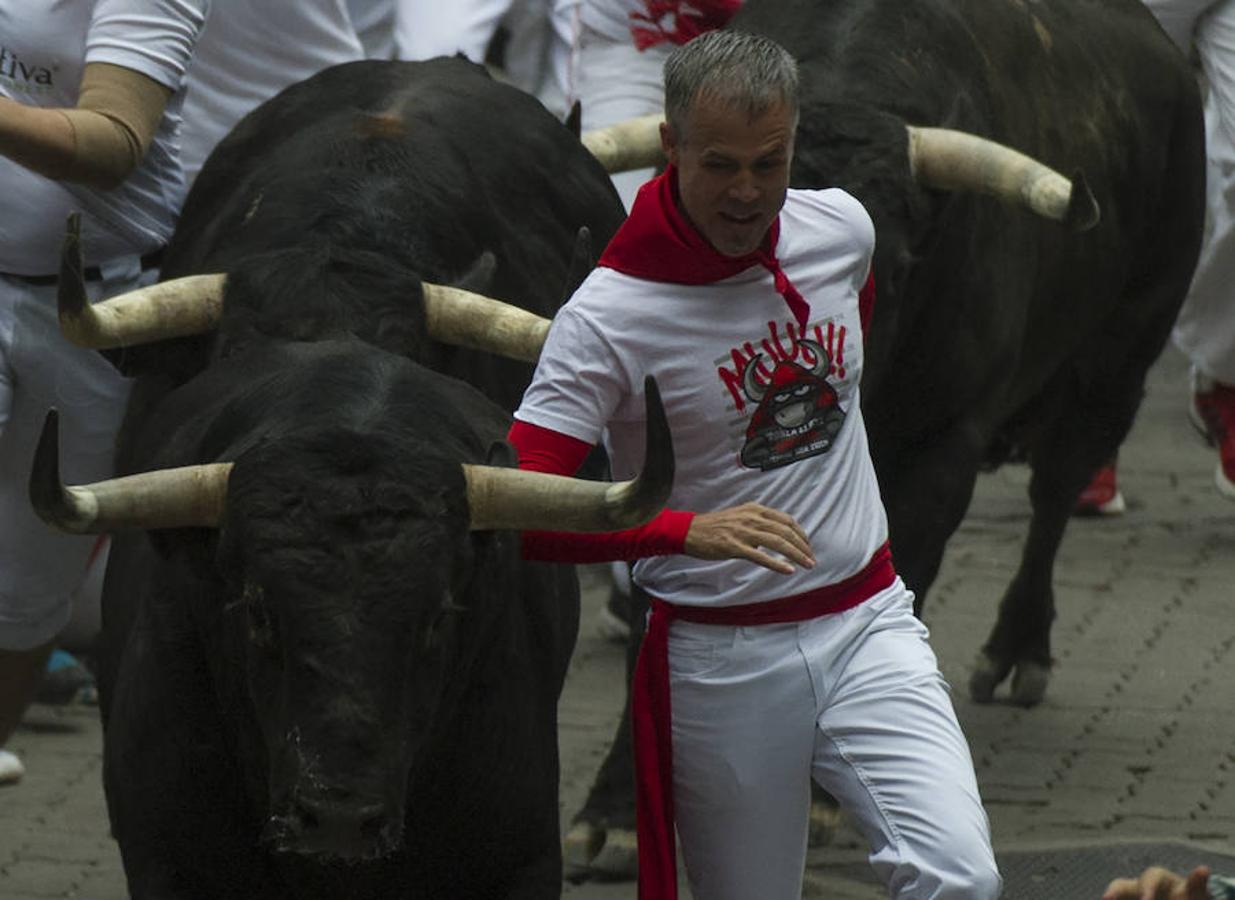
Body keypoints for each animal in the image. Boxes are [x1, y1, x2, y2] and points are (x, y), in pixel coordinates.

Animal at [568, 0, 1205, 879]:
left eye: (895, 268)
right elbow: (655, 616)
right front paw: (613, 813)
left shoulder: (942, 447)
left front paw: (826, 794)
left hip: (1120, 357)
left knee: (1054, 492)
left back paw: (1018, 647)